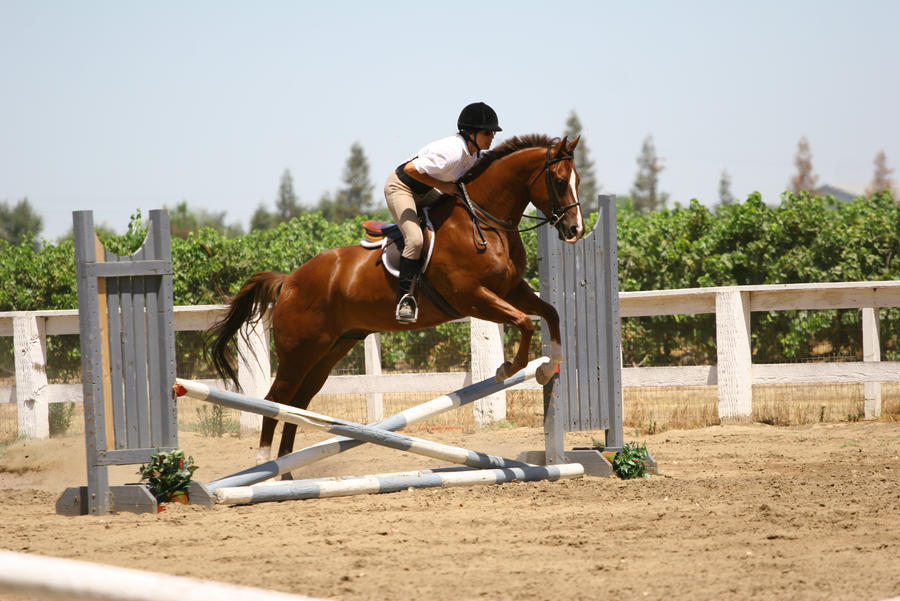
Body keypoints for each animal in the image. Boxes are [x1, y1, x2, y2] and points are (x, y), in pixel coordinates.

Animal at [209, 134, 585, 465]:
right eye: (558, 180)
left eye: (577, 179)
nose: (575, 230)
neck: (484, 221)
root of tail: (289, 280)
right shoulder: (473, 297)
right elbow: (523, 323)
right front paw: (509, 368)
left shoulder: (511, 290)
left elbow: (551, 314)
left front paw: (549, 366)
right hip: (299, 351)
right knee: (275, 400)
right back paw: (265, 464)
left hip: (332, 348)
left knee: (298, 403)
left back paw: (287, 470)